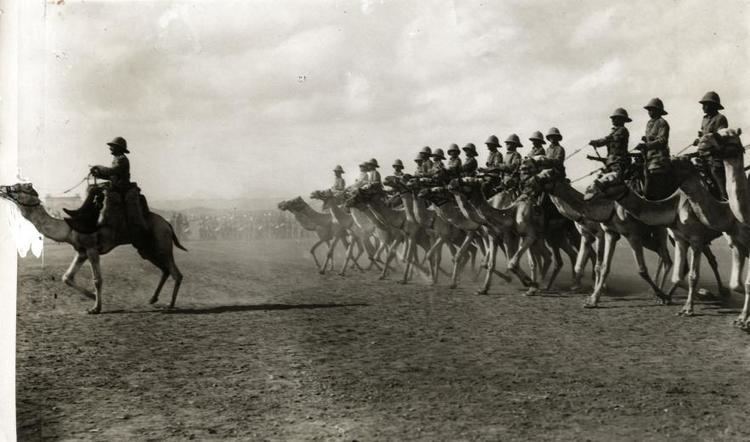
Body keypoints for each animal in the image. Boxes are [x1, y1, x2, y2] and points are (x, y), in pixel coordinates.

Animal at [0, 183, 187, 314]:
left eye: (16, 187)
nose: (2, 188)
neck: (69, 228)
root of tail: (168, 224)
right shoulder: (81, 251)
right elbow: (66, 277)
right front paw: (92, 297)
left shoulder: (91, 248)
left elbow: (97, 279)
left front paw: (95, 308)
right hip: (146, 249)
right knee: (165, 269)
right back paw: (153, 299)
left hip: (161, 242)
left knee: (176, 272)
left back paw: (170, 305)